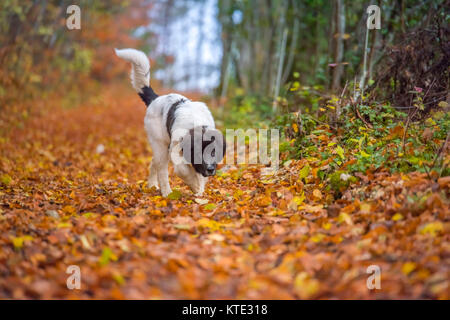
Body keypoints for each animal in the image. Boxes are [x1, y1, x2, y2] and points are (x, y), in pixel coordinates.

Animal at [114, 47, 223, 198]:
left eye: (213, 152)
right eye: (199, 152)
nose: (211, 169)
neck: (195, 124)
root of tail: (155, 99)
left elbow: (198, 174)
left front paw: (199, 191)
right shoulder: (175, 149)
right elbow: (182, 170)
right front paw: (194, 186)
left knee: (154, 162)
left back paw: (152, 185)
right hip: (159, 143)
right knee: (161, 168)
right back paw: (167, 192)